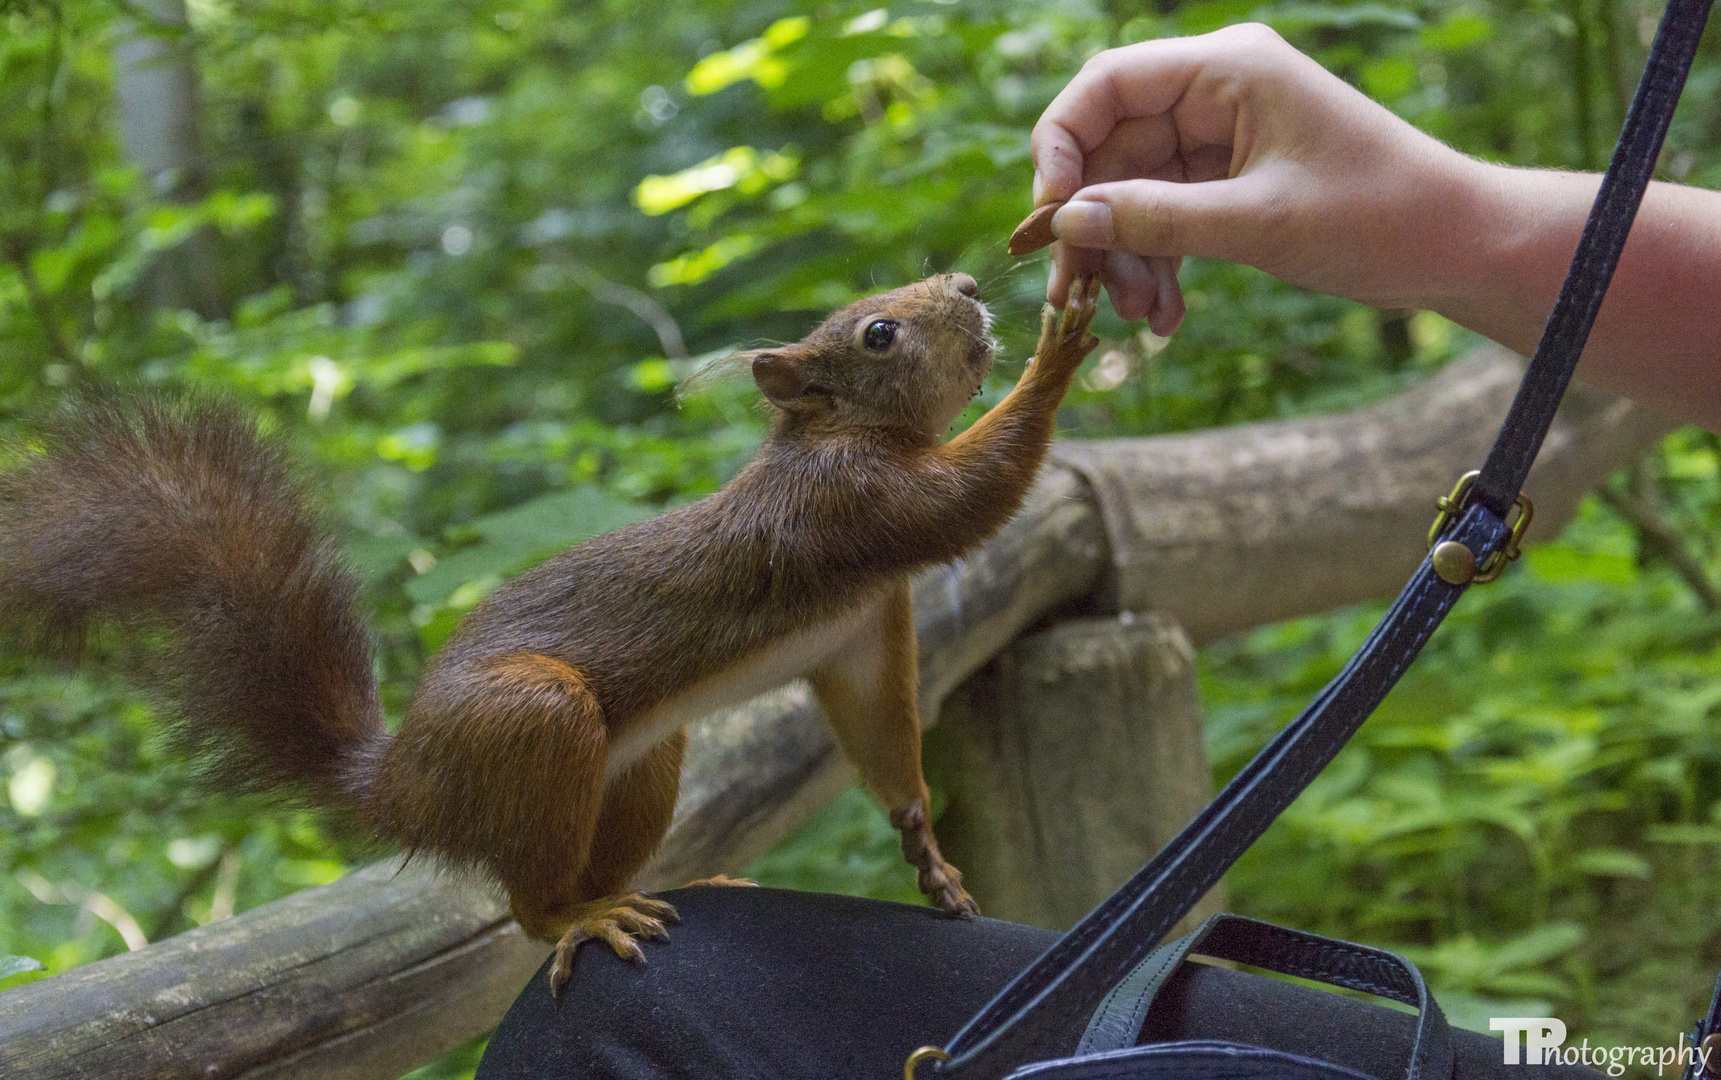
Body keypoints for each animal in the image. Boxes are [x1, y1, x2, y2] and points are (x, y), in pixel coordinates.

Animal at [0, 271, 1101, 997]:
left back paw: (667, 883)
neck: (835, 435)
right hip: (534, 719)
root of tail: (401, 785)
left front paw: (926, 850)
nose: (969, 282)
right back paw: (583, 917)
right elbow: (970, 494)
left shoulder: (863, 630)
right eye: (878, 331)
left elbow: (880, 736)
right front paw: (1061, 342)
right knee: (531, 907)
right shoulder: (849, 510)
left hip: (642, 763)